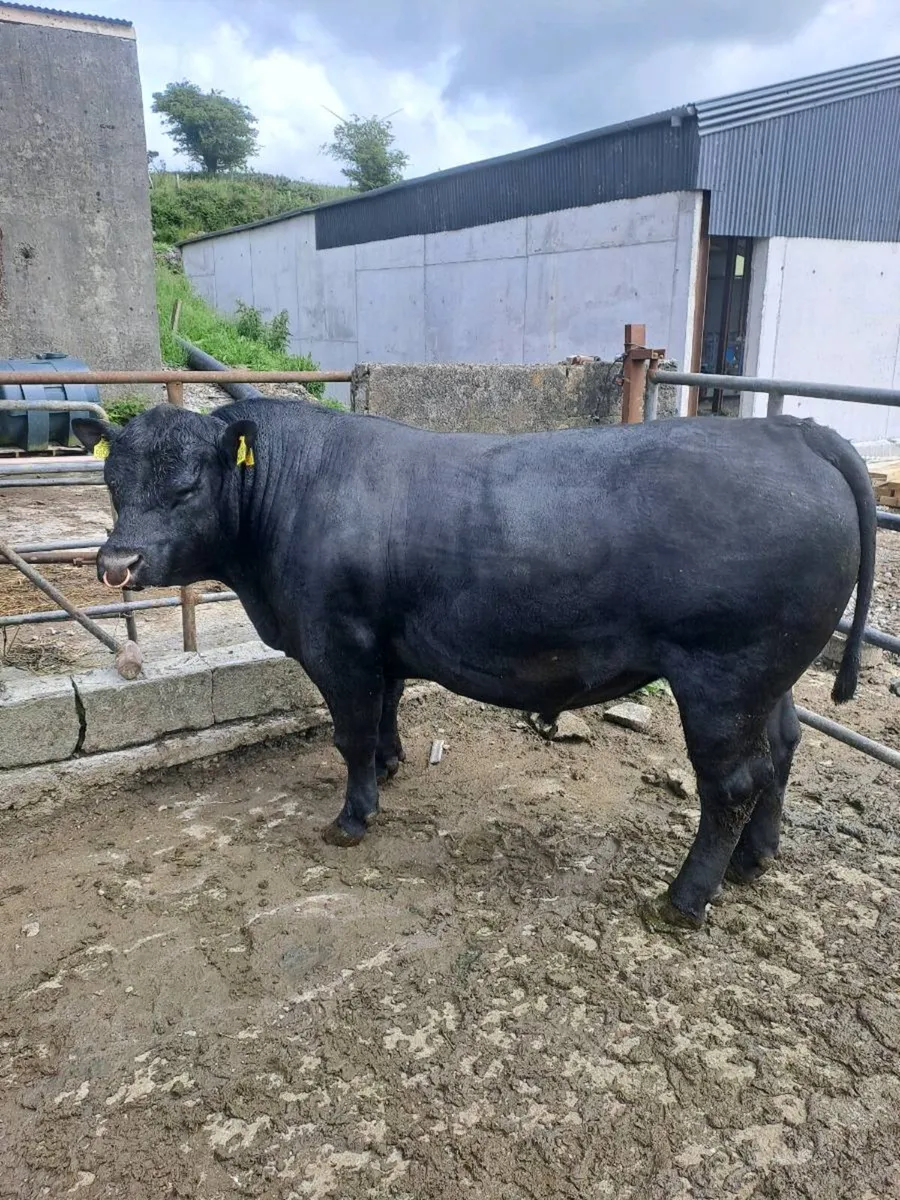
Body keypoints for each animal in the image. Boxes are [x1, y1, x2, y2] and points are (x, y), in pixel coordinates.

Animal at [72, 400, 875, 930]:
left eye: (186, 486)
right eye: (110, 483)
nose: (116, 563)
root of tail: (793, 430)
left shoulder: (337, 642)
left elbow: (350, 732)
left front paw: (353, 816)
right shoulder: (382, 644)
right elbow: (386, 711)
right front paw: (391, 766)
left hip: (722, 675)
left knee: (733, 783)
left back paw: (685, 899)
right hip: (770, 675)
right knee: (782, 750)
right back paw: (753, 861)